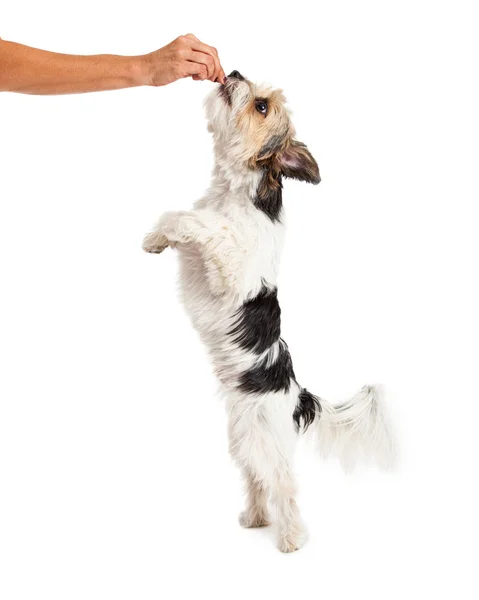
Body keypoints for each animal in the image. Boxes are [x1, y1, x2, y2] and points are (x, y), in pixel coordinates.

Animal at [142, 70, 398, 552]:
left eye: (261, 106)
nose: (234, 72)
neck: (235, 192)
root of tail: (298, 395)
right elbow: (180, 219)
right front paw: (155, 239)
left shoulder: (231, 266)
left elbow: (203, 225)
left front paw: (172, 230)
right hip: (244, 437)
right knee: (257, 479)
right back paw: (256, 518)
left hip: (267, 439)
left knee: (284, 485)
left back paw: (291, 538)